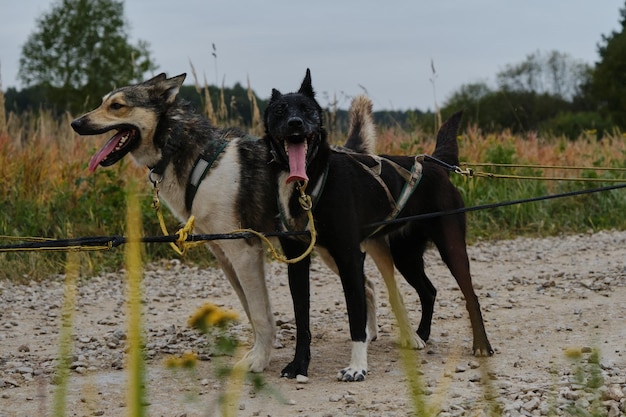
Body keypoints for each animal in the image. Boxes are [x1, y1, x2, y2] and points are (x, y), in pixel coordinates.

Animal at [260, 70, 490, 382]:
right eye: (280, 110)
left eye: (307, 110)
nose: (295, 123)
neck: (308, 185)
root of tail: (434, 164)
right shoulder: (297, 263)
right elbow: (302, 320)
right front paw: (299, 365)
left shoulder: (349, 259)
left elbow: (356, 318)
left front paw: (357, 367)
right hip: (405, 257)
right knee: (429, 291)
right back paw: (420, 335)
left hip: (451, 248)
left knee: (470, 295)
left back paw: (481, 344)